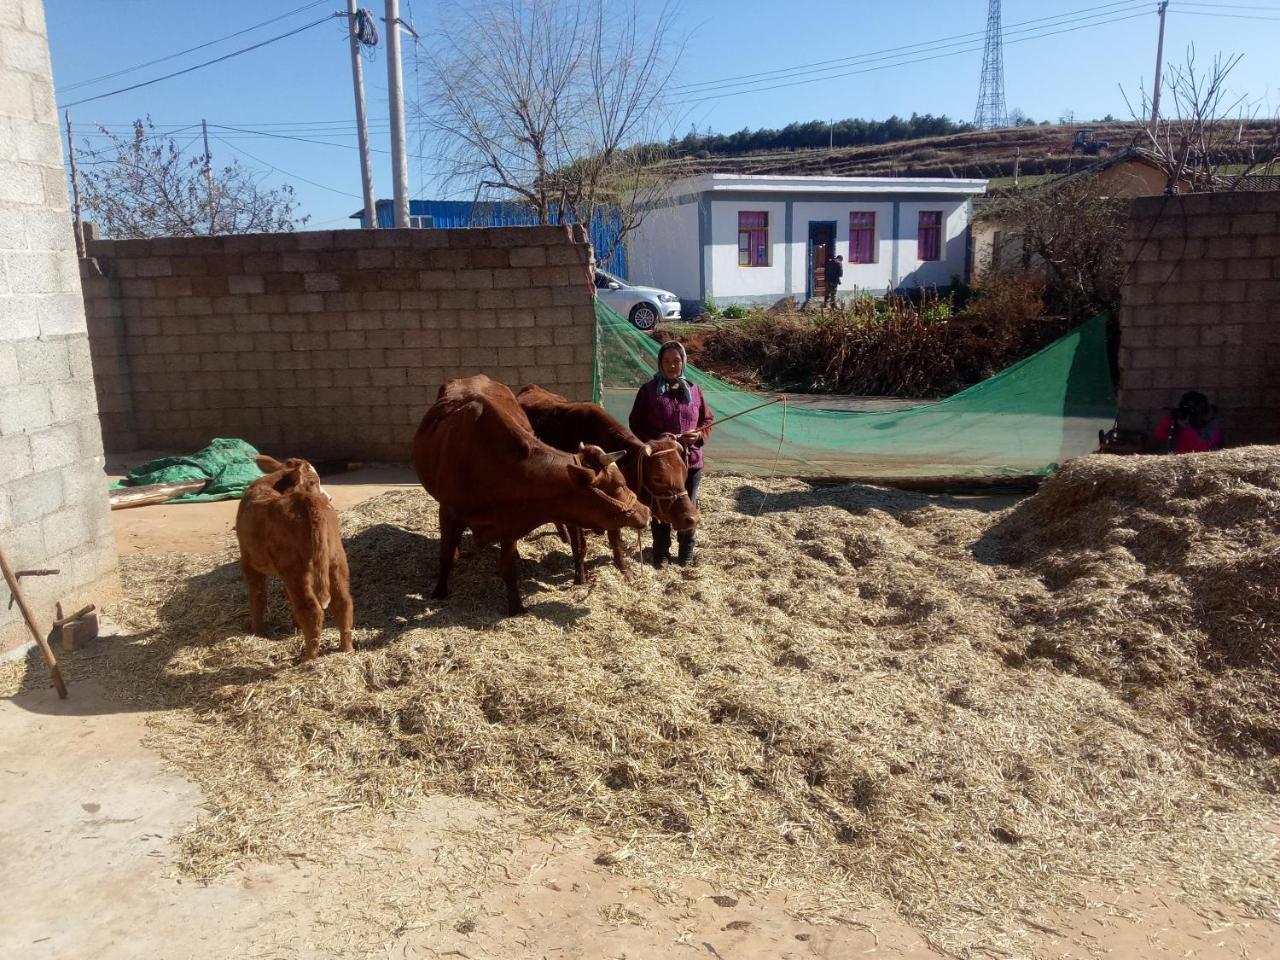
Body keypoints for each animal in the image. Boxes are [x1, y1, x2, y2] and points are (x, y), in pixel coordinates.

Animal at [235, 455, 353, 660]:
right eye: (314, 482)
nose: (329, 497)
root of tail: (306, 501)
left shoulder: (249, 562)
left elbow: (258, 595)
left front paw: (257, 630)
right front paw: (295, 627)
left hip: (295, 569)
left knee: (311, 609)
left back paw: (309, 658)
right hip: (335, 559)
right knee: (343, 602)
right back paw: (346, 650)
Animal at [412, 371, 650, 611]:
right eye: (619, 484)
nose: (646, 511)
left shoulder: (508, 522)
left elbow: (509, 568)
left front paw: (516, 607)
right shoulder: (447, 511)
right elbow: (446, 556)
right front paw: (439, 592)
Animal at [517, 386, 701, 583]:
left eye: (685, 472)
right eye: (658, 478)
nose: (692, 518)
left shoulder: (618, 506)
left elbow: (616, 541)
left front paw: (625, 572)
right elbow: (580, 545)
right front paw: (579, 578)